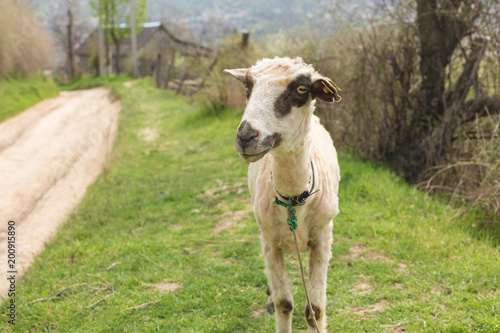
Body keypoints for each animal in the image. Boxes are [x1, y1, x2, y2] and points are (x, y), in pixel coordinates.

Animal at [225, 55, 342, 330]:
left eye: (301, 89)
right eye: (247, 86)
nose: (246, 136)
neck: (293, 197)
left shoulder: (322, 238)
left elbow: (316, 309)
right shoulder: (270, 242)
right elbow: (284, 303)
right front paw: (276, 303)